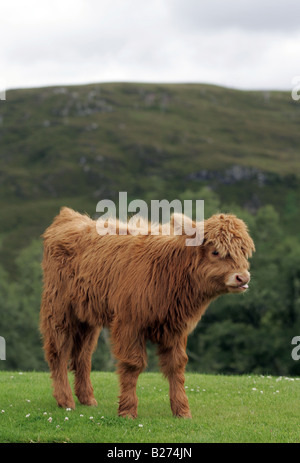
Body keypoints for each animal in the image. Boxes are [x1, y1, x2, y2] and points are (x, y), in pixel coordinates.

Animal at [40, 208, 255, 418]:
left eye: (243, 252)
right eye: (215, 251)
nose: (243, 278)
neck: (170, 271)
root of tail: (69, 216)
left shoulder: (176, 328)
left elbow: (177, 366)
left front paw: (182, 410)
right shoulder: (129, 324)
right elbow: (132, 365)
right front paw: (128, 411)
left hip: (87, 317)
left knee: (82, 355)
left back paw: (87, 399)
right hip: (59, 310)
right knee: (58, 351)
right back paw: (66, 401)